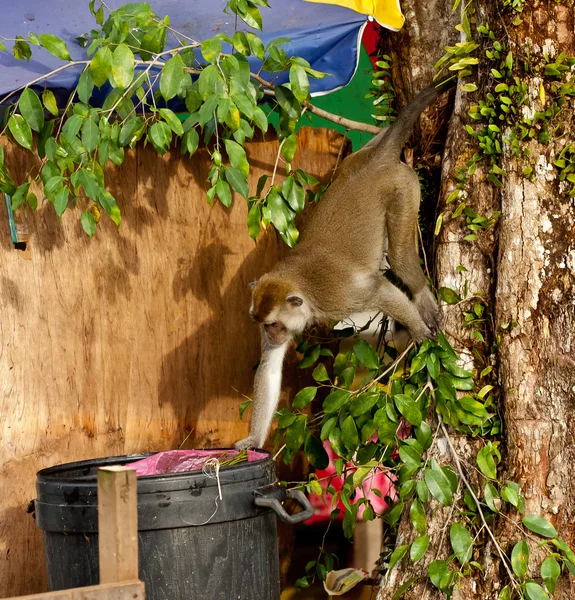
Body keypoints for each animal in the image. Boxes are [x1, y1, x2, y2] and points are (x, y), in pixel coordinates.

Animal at [236, 76, 456, 450]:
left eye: (274, 324)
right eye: (264, 325)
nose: (272, 335)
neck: (303, 291)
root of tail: (374, 163)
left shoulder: (337, 298)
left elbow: (380, 290)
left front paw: (419, 333)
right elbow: (270, 368)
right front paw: (252, 440)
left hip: (403, 187)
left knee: (400, 260)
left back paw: (421, 298)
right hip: (356, 161)